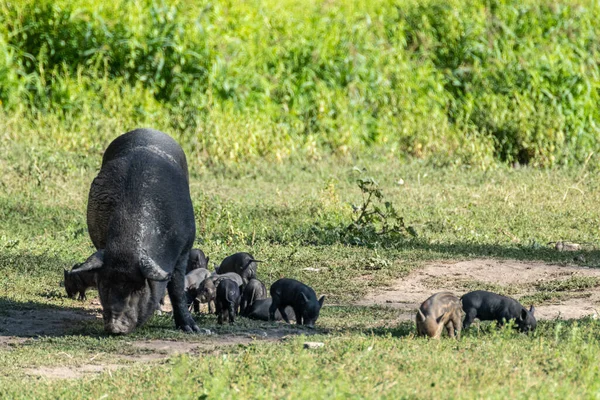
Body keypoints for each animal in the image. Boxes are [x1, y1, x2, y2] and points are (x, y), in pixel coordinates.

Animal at [75, 129, 199, 334]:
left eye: (138, 288)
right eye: (104, 285)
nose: (115, 326)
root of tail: (147, 129)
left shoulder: (184, 247)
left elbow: (177, 288)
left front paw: (194, 329)